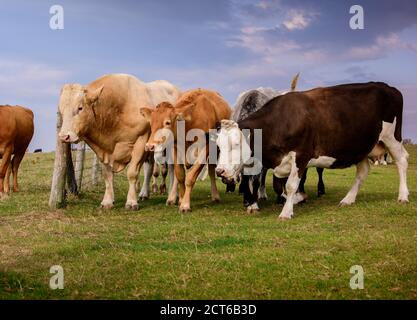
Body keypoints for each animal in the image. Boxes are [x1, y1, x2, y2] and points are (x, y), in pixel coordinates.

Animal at [58, 74, 180, 210]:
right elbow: (107, 175)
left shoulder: (141, 141)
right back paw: (144, 193)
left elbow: (132, 173)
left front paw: (131, 202)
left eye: (80, 108)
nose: (64, 136)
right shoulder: (104, 150)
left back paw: (172, 196)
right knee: (150, 168)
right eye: (61, 111)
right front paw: (107, 201)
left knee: (171, 169)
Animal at [216, 81, 408, 219]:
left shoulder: (301, 156)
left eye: (236, 144)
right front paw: (297, 199)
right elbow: (279, 186)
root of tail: (389, 88)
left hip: (392, 138)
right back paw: (348, 199)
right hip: (361, 147)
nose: (219, 171)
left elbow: (291, 185)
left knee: (402, 161)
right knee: (363, 171)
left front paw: (287, 211)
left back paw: (403, 196)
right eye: (218, 146)